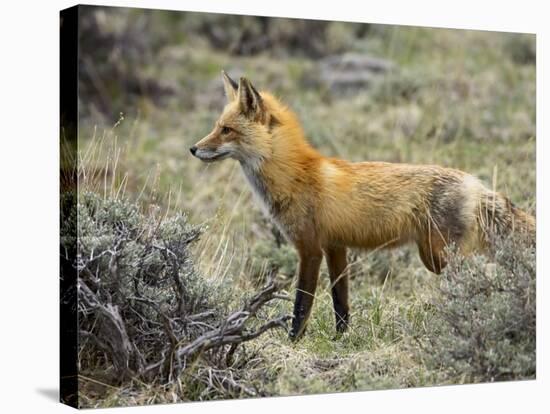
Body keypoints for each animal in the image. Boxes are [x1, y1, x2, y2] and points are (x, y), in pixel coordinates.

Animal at [192, 71, 536, 340]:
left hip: (442, 257)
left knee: (485, 277)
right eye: (217, 126)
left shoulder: (309, 249)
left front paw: (293, 342)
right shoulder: (335, 247)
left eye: (226, 130)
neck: (295, 175)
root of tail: (476, 183)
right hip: (434, 256)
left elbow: (302, 305)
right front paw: (341, 339)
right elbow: (340, 302)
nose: (193, 149)